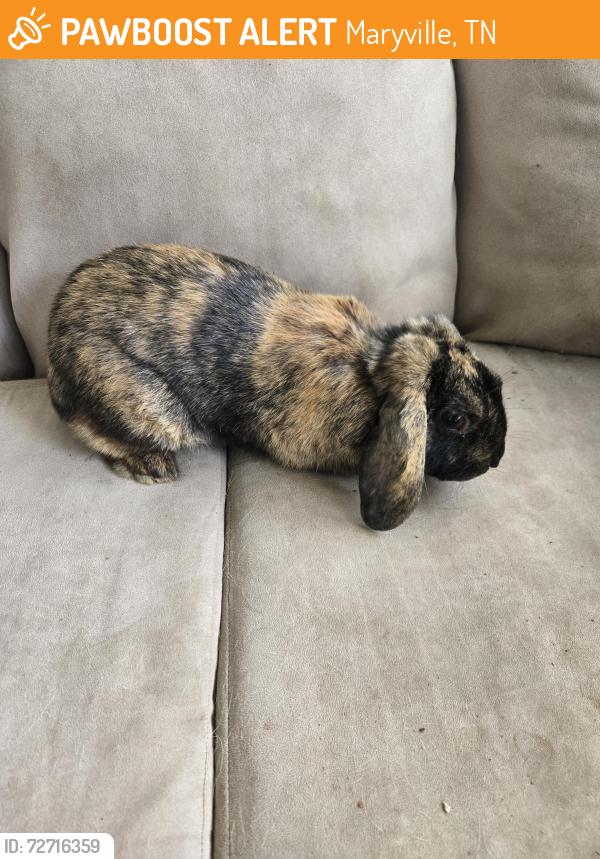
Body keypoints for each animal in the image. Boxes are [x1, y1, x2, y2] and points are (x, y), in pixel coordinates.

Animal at [47, 244, 507, 530]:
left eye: (499, 383)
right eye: (455, 418)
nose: (497, 457)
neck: (372, 374)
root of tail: (53, 343)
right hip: (154, 410)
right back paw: (154, 468)